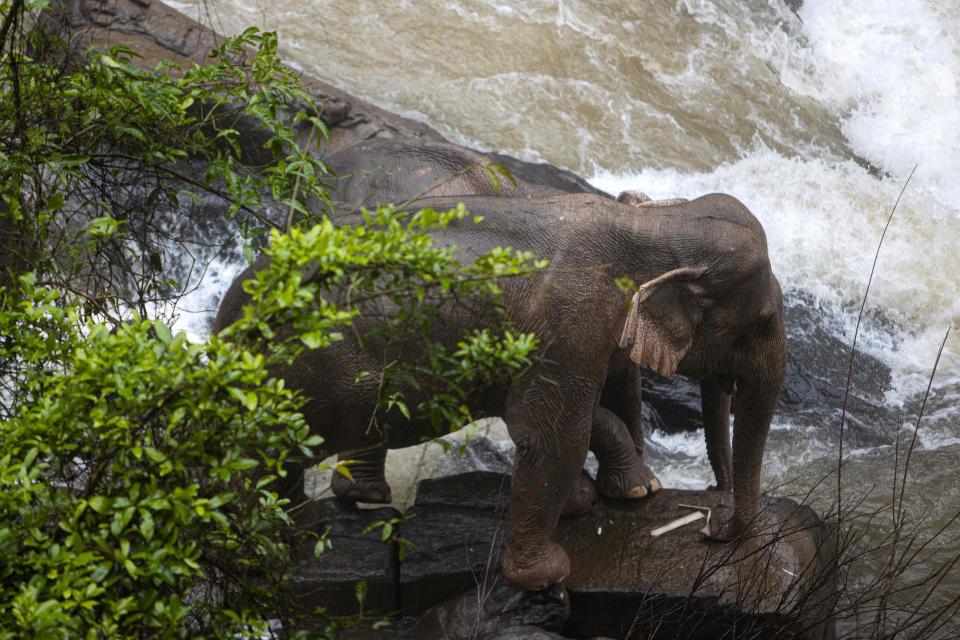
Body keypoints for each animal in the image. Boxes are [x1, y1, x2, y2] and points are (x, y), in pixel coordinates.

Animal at [214, 190, 784, 592]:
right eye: (760, 322)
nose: (711, 526)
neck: (656, 225)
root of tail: (228, 317)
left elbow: (592, 407)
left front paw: (619, 494)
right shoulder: (571, 323)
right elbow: (552, 433)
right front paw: (549, 574)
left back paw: (333, 511)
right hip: (315, 371)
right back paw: (287, 537)